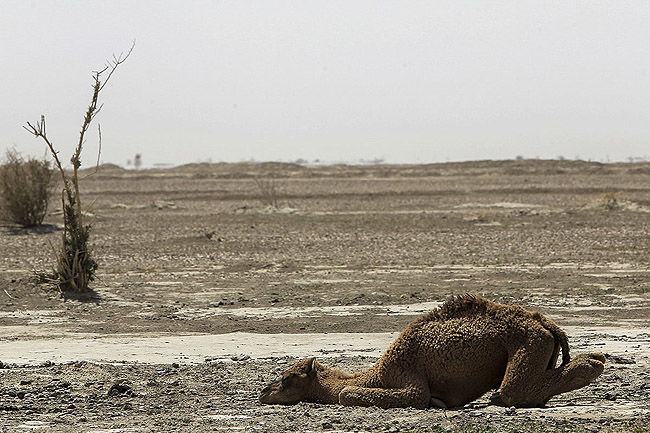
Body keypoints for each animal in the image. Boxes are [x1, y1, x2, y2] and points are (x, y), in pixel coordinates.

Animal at [258, 294, 604, 408]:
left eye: (287, 378)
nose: (263, 392)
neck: (376, 374)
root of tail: (547, 324)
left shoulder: (407, 377)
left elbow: (346, 394)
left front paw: (436, 403)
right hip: (538, 344)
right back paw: (596, 360)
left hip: (527, 342)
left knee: (511, 391)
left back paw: (594, 363)